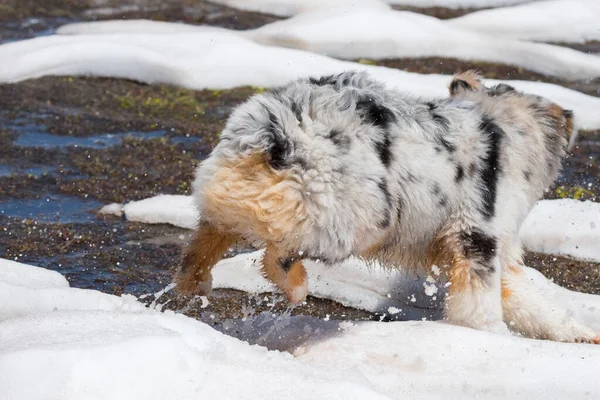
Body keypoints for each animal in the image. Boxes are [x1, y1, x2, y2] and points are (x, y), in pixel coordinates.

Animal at [173, 69, 600, 344]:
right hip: (356, 217)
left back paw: (194, 283)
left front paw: (583, 336)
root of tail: (272, 134)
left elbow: (533, 304)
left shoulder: (496, 252)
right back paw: (296, 288)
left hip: (223, 192)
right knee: (275, 255)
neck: (503, 131)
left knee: (205, 238)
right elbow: (480, 304)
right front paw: (493, 338)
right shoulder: (476, 238)